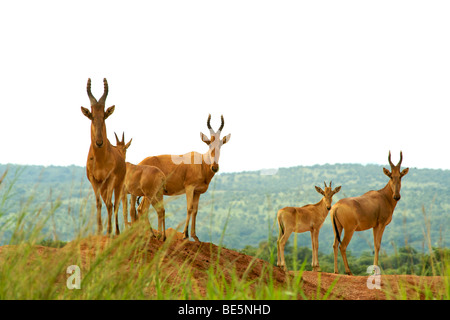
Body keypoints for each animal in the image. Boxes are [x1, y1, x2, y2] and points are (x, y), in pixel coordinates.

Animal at [80, 77, 125, 235]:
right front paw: (99, 231)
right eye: (91, 116)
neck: (100, 160)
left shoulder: (111, 179)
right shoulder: (95, 181)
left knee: (115, 204)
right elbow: (99, 203)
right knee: (107, 202)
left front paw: (109, 230)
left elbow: (111, 204)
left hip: (118, 185)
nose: (99, 142)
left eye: (104, 116)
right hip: (104, 186)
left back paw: (116, 231)